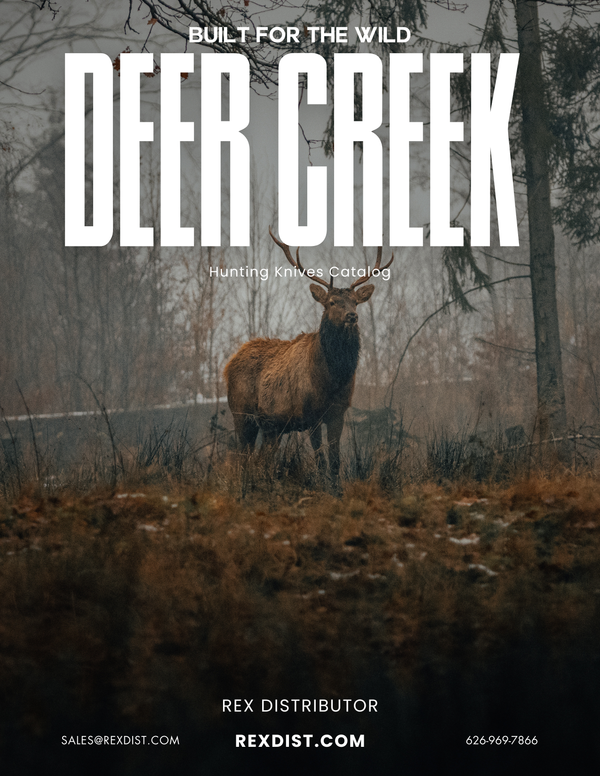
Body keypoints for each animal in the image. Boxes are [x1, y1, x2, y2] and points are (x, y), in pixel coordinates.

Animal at [224, 228, 394, 481]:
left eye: (355, 302)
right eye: (332, 302)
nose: (352, 316)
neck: (331, 380)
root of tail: (228, 365)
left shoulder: (338, 413)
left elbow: (335, 460)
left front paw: (336, 486)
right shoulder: (311, 414)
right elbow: (320, 460)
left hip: (272, 426)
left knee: (262, 459)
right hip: (241, 413)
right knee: (243, 458)